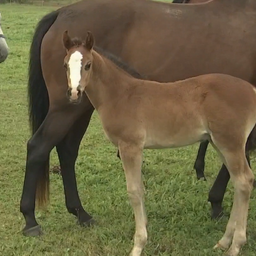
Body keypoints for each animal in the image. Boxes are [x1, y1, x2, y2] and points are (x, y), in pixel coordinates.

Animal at [62, 32, 256, 256]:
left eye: (88, 65)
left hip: (230, 144)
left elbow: (134, 191)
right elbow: (139, 189)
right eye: (65, 64)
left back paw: (235, 245)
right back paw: (224, 241)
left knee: (244, 181)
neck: (121, 95)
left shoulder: (130, 147)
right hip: (220, 144)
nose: (74, 94)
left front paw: (138, 245)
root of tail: (252, 90)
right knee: (239, 182)